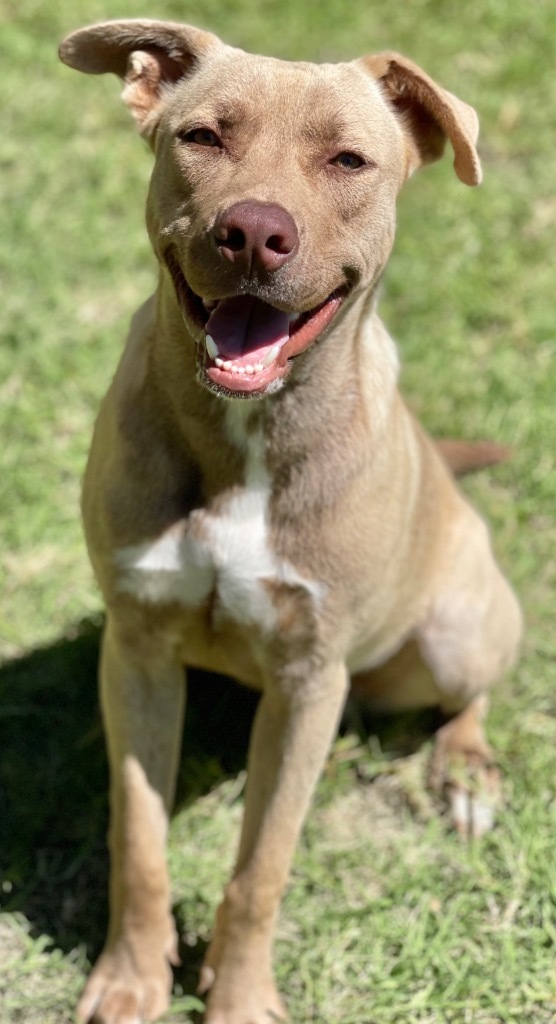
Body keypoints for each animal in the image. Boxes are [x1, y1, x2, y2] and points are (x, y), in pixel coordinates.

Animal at [57, 22, 522, 1024]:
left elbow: (261, 866)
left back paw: (465, 772)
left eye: (348, 159)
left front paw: (237, 997)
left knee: (472, 690)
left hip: (450, 634)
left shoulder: (311, 683)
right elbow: (139, 839)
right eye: (202, 137)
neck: (246, 436)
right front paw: (130, 977)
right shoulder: (140, 647)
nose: (254, 233)